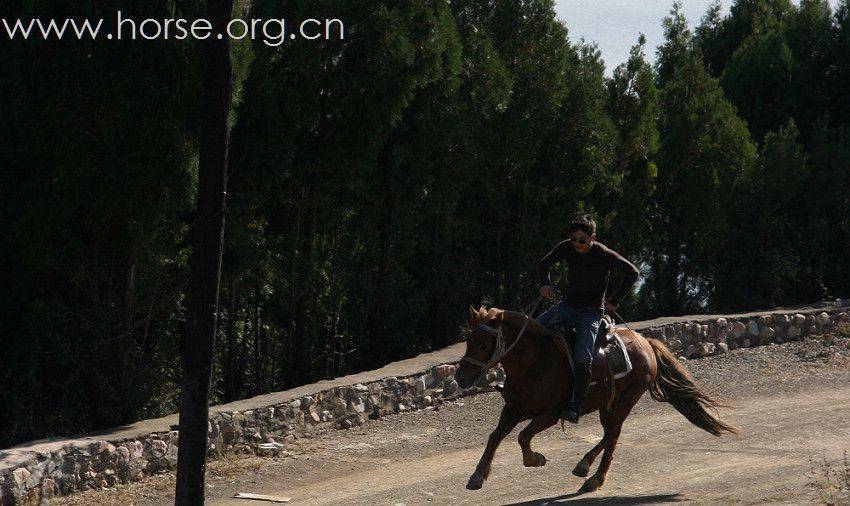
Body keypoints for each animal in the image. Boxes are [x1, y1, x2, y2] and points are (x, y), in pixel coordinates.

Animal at [454, 306, 740, 492]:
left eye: (483, 344)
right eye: (468, 341)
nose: (461, 379)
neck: (535, 362)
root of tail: (646, 342)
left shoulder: (550, 414)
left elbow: (523, 437)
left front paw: (536, 459)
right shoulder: (513, 410)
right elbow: (494, 437)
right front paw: (478, 475)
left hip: (625, 401)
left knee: (612, 436)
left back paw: (592, 476)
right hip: (607, 405)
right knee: (608, 435)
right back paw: (587, 468)